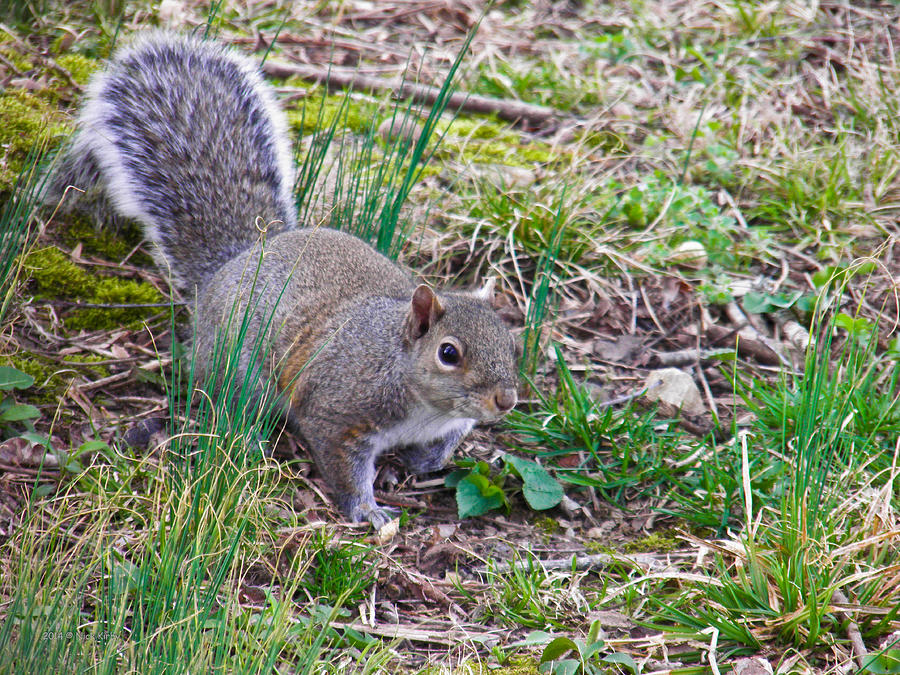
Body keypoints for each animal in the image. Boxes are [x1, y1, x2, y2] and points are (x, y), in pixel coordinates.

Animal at [49, 31, 524, 528]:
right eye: (448, 353)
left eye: (512, 345)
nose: (506, 401)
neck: (419, 397)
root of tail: (240, 259)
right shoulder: (337, 413)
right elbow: (343, 466)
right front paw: (367, 510)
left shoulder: (451, 420)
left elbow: (447, 443)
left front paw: (421, 460)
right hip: (238, 368)